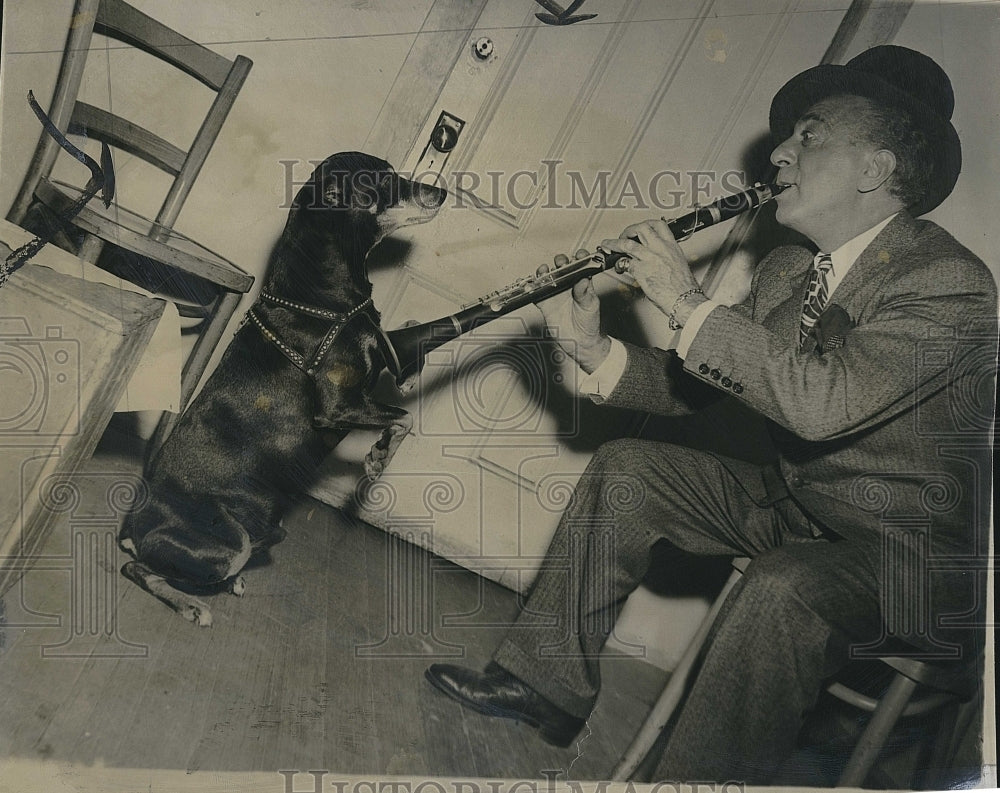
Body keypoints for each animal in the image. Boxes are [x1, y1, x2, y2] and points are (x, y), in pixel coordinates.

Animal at [118, 152, 446, 624]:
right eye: (383, 180)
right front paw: (379, 458)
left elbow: (401, 373)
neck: (318, 295)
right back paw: (192, 604)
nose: (442, 192)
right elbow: (405, 418)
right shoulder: (337, 407)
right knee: (139, 568)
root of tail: (132, 525)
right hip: (227, 541)